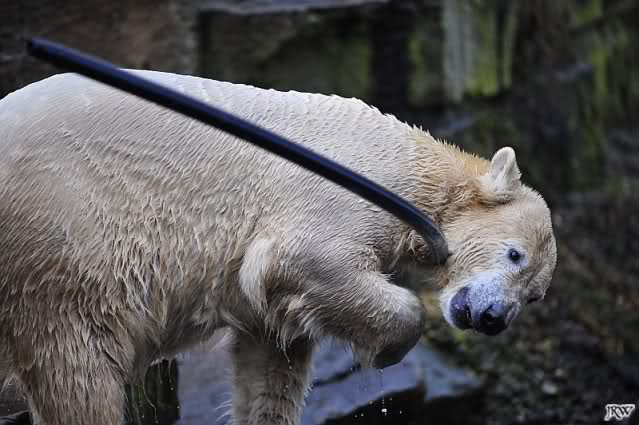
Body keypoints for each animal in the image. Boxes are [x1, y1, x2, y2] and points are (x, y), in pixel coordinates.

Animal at [0, 71, 557, 425]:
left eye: (533, 296)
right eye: (515, 254)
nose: (493, 317)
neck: (417, 168)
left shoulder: (275, 302)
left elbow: (273, 354)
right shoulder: (343, 188)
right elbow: (307, 258)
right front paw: (388, 347)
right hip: (59, 235)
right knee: (76, 363)